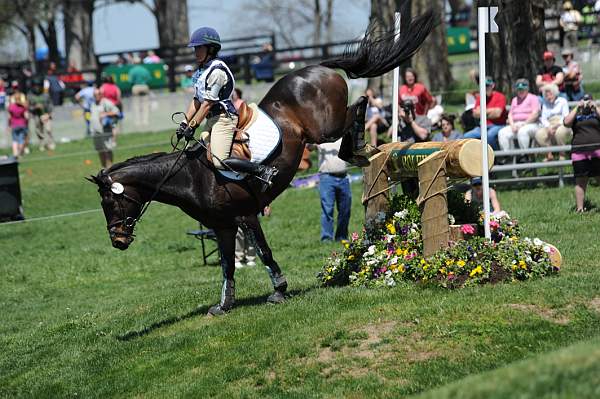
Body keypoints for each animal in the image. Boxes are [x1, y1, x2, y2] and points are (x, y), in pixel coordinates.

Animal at [88, 7, 436, 316]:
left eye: (111, 202)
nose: (117, 241)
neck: (190, 177)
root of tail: (316, 67)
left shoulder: (245, 216)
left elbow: (264, 252)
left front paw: (279, 291)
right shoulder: (223, 226)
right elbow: (227, 265)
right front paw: (224, 305)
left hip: (325, 128)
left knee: (359, 104)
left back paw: (357, 148)